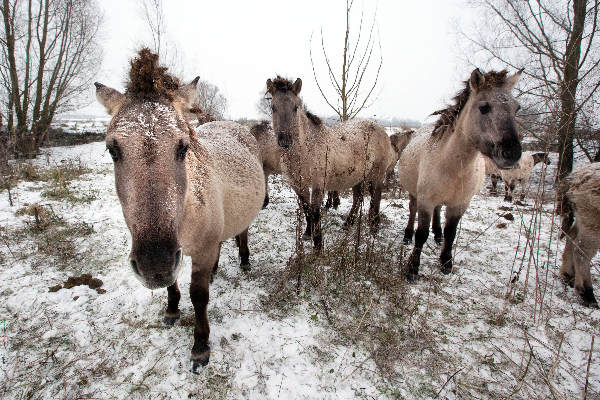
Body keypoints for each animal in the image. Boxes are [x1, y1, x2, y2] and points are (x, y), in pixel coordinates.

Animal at [96, 48, 264, 370]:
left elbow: (198, 296)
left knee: (242, 233)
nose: (154, 264)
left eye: (183, 147)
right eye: (113, 150)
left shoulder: (197, 252)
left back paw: (245, 260)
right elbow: (173, 285)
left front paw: (200, 346)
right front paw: (172, 310)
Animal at [268, 75, 394, 250]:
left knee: (376, 198)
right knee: (358, 198)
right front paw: (308, 233)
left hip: (377, 174)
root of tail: (381, 129)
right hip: (358, 176)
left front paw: (318, 245)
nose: (285, 141)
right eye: (273, 107)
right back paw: (348, 224)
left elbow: (315, 212)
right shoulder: (298, 185)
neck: (306, 149)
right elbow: (306, 209)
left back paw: (374, 228)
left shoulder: (318, 185)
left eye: (296, 107)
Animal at [398, 69, 524, 282]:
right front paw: (412, 268)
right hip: (415, 194)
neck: (454, 166)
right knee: (413, 210)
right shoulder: (426, 201)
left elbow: (451, 232)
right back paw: (408, 234)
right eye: (484, 108)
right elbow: (421, 234)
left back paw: (437, 234)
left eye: (517, 108)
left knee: (439, 211)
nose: (512, 153)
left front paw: (446, 262)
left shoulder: (460, 204)